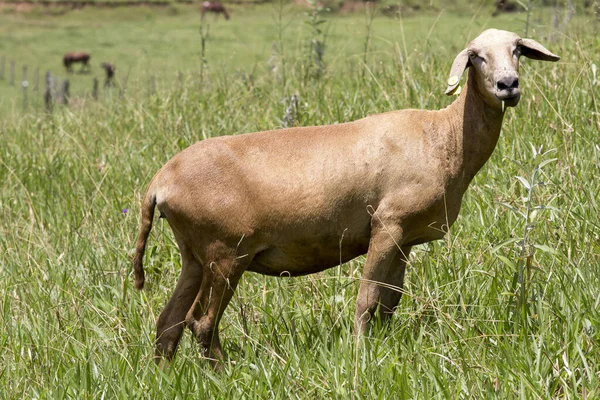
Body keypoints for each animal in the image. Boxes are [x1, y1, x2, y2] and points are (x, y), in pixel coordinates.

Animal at [131, 29, 556, 368]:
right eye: (476, 56)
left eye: (517, 49)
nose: (508, 85)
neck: (445, 135)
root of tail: (160, 182)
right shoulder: (387, 224)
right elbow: (367, 299)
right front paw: (360, 355)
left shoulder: (406, 239)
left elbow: (389, 302)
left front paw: (382, 347)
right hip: (226, 252)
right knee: (201, 322)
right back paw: (223, 374)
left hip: (194, 254)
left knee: (168, 322)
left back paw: (165, 376)